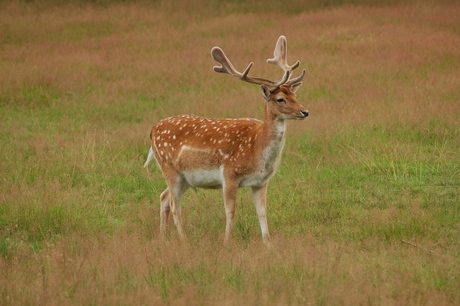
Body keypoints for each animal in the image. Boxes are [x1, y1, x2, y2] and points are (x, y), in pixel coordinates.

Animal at [145, 35, 310, 246]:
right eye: (280, 99)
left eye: (295, 95)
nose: (305, 111)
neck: (257, 148)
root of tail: (153, 130)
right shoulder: (230, 175)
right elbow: (230, 211)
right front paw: (227, 242)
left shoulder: (261, 181)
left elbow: (262, 212)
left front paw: (268, 244)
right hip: (169, 167)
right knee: (174, 204)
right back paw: (184, 240)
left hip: (185, 178)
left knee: (164, 197)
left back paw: (163, 238)